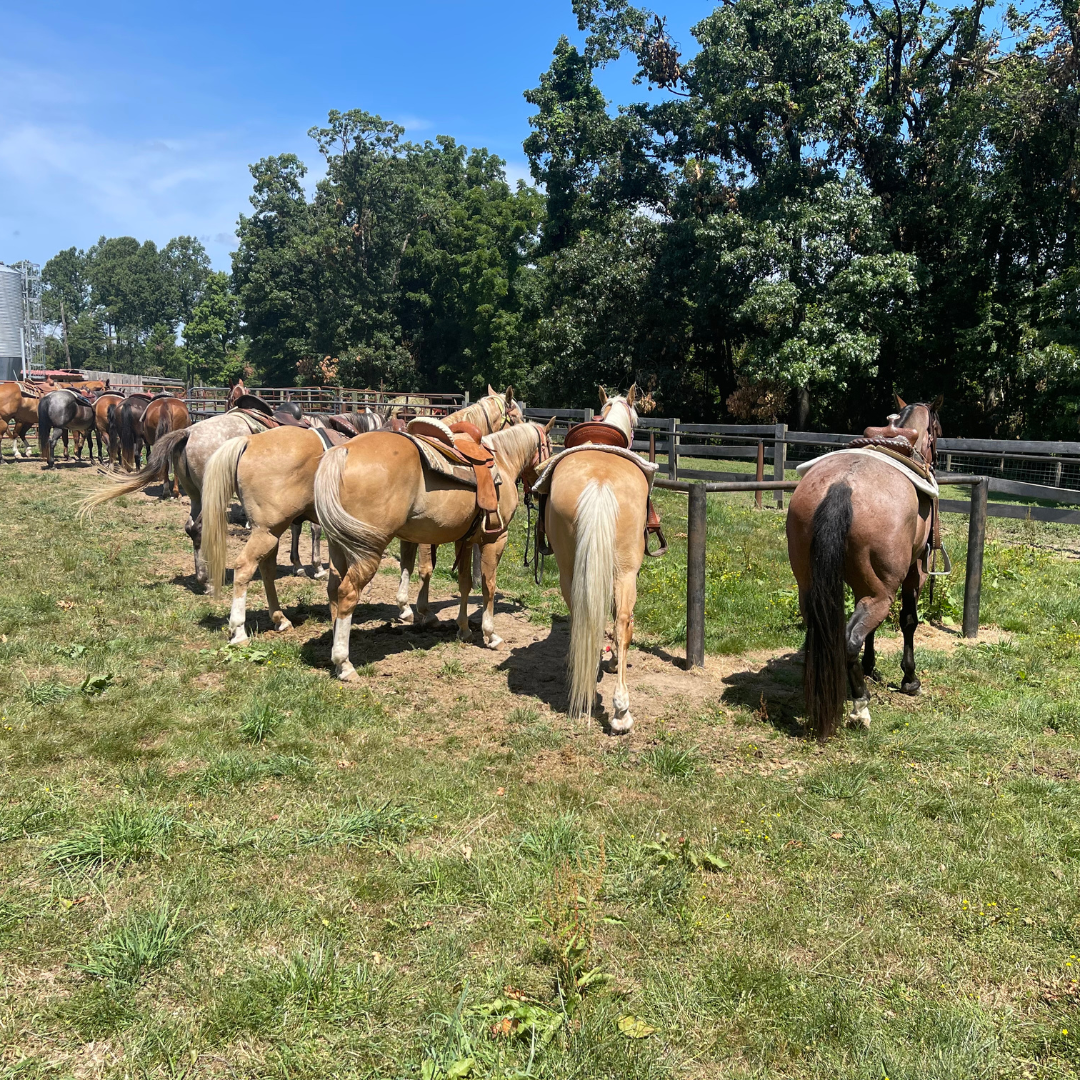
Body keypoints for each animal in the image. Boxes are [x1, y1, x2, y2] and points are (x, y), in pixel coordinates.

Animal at [201, 409, 393, 644]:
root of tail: (249, 441)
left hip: (270, 532)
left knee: (266, 568)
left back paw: (280, 619)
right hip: (267, 531)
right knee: (245, 567)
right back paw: (239, 631)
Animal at [313, 420, 552, 681]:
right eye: (549, 446)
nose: (540, 491)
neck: (503, 461)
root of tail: (343, 450)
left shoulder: (464, 541)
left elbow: (465, 584)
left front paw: (464, 629)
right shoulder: (495, 539)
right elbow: (489, 586)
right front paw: (491, 635)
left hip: (338, 546)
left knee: (333, 590)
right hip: (367, 551)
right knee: (347, 593)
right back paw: (344, 663)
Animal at [539, 387, 651, 733]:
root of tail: (600, 481)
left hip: (575, 570)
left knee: (589, 615)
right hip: (623, 572)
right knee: (620, 622)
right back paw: (621, 710)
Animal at [786, 396, 943, 740]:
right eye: (937, 430)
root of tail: (843, 485)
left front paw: (870, 666)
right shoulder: (914, 572)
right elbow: (908, 620)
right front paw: (910, 680)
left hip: (813, 588)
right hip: (881, 595)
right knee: (850, 640)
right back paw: (860, 708)